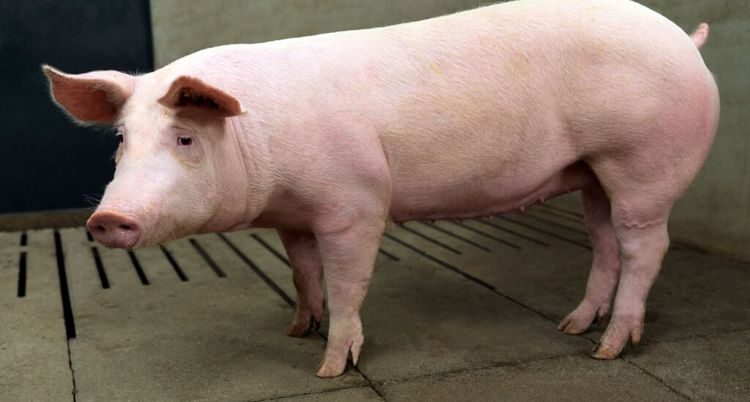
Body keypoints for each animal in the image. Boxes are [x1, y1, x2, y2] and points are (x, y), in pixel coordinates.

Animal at [42, 0, 724, 376]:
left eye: (184, 138)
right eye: (121, 139)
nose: (106, 220)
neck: (258, 137)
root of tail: (684, 41)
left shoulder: (353, 203)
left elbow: (348, 282)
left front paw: (328, 367)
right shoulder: (294, 215)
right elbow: (304, 273)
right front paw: (297, 330)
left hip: (642, 160)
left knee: (644, 246)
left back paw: (607, 350)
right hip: (592, 174)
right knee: (605, 244)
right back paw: (572, 328)